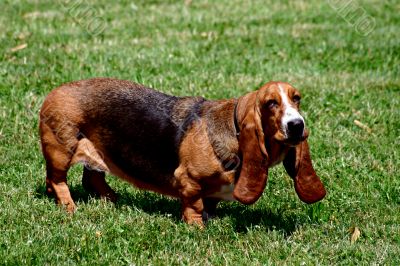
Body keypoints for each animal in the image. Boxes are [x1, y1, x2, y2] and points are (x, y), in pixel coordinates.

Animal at [39, 78, 324, 225]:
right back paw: (69, 207)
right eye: (271, 103)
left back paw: (112, 199)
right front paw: (197, 227)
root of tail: (54, 91)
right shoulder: (189, 180)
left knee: (93, 177)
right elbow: (194, 205)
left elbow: (210, 202)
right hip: (61, 151)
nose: (297, 125)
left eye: (297, 98)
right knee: (56, 180)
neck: (231, 126)